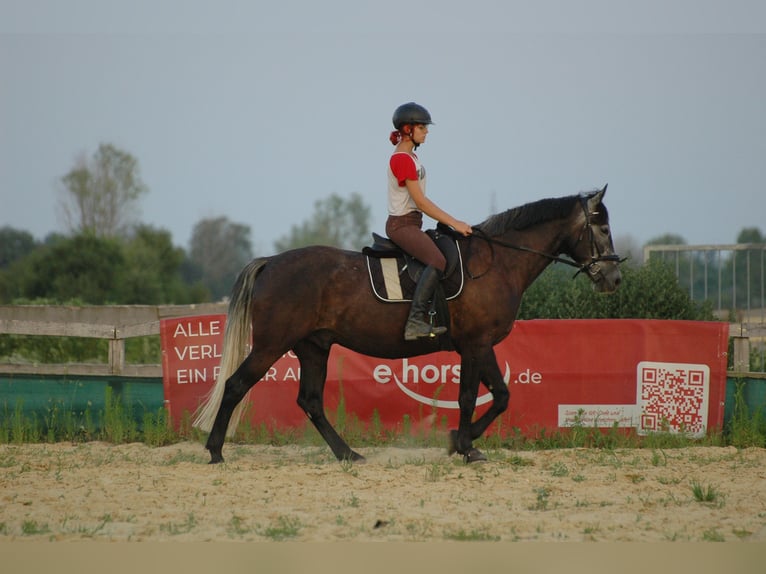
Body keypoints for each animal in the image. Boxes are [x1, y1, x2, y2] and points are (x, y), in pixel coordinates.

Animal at [194, 187, 624, 466]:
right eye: (602, 228)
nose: (614, 278)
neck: (497, 262)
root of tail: (272, 262)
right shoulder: (476, 344)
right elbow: (475, 397)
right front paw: (465, 446)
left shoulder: (479, 346)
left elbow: (500, 396)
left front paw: (459, 442)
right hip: (272, 344)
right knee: (235, 385)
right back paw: (215, 451)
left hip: (314, 347)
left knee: (311, 401)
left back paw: (348, 453)